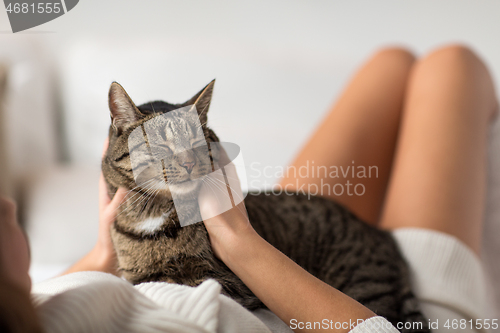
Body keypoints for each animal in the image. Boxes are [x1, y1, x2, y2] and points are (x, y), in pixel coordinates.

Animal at [102, 80, 430, 332]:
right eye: (159, 145)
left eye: (199, 143)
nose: (189, 162)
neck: (156, 212)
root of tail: (382, 235)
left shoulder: (228, 284)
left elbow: (174, 282)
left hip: (365, 284)